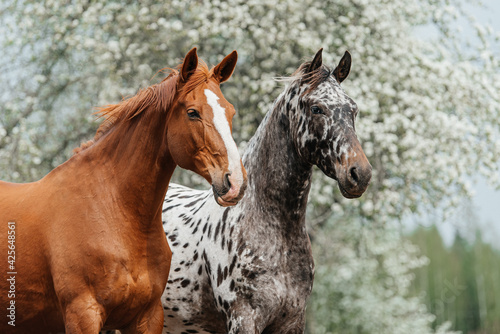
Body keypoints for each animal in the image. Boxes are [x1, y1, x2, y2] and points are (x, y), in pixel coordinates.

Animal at [0, 47, 247, 334]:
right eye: (193, 112)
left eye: (230, 112)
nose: (235, 182)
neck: (111, 211)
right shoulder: (83, 315)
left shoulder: (146, 317)